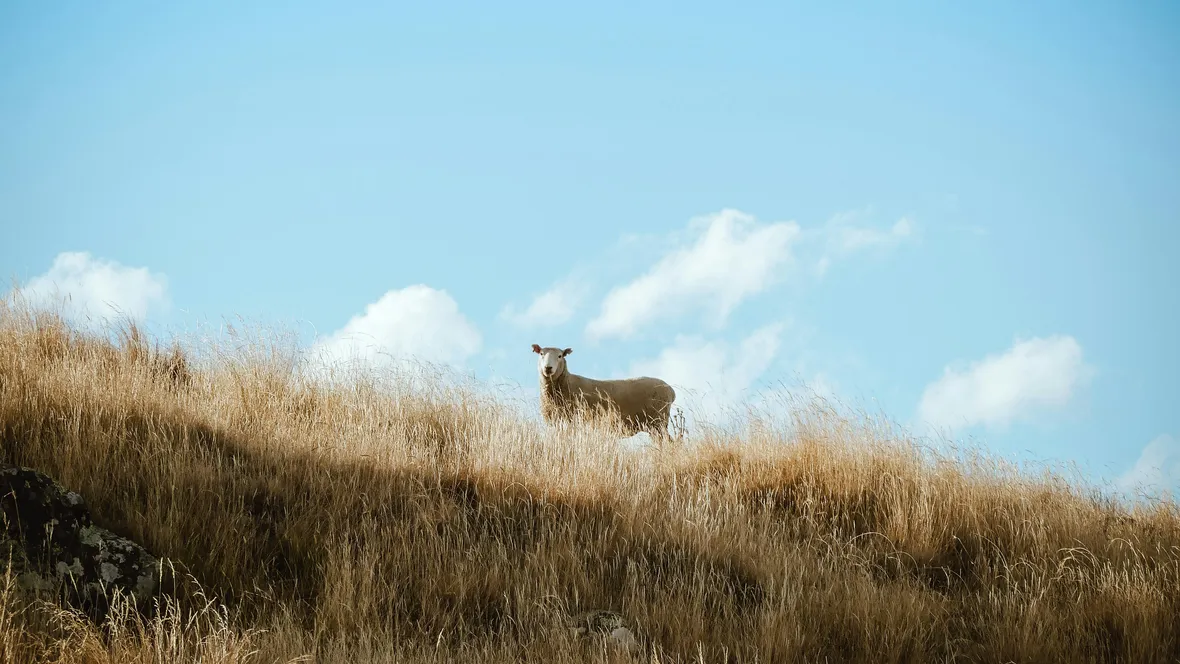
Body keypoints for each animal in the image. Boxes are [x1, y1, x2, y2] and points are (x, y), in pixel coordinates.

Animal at [531, 344, 677, 442]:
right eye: (541, 354)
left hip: (658, 422)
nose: (548, 368)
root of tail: (671, 390)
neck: (566, 383)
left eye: (560, 356)